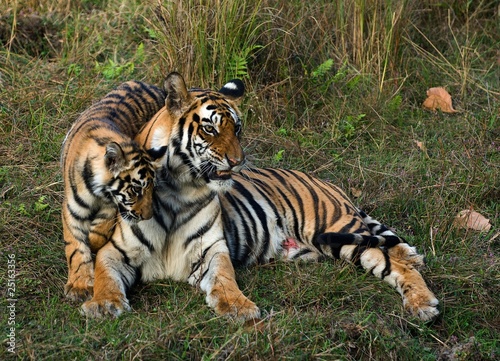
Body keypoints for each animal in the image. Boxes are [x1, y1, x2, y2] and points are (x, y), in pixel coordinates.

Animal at [61, 81, 165, 300]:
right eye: (136, 189)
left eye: (153, 189)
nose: (148, 216)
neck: (98, 191)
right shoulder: (72, 210)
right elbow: (75, 247)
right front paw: (79, 286)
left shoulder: (111, 205)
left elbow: (100, 231)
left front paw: (93, 242)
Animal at [81, 71, 438, 320]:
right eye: (210, 128)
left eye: (237, 128)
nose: (238, 161)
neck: (179, 193)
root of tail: (329, 184)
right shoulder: (115, 250)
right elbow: (104, 276)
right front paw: (103, 304)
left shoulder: (213, 250)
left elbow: (225, 279)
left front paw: (239, 307)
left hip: (338, 232)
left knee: (396, 263)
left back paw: (423, 303)